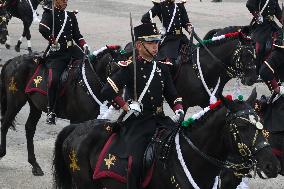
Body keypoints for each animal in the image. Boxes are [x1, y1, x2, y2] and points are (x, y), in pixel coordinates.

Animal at [0, 45, 123, 176]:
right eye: (113, 68)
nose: (119, 102)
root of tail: (12, 61)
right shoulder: (76, 119)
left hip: (35, 105)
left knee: (29, 128)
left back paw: (34, 164)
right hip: (15, 101)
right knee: (5, 124)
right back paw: (2, 152)